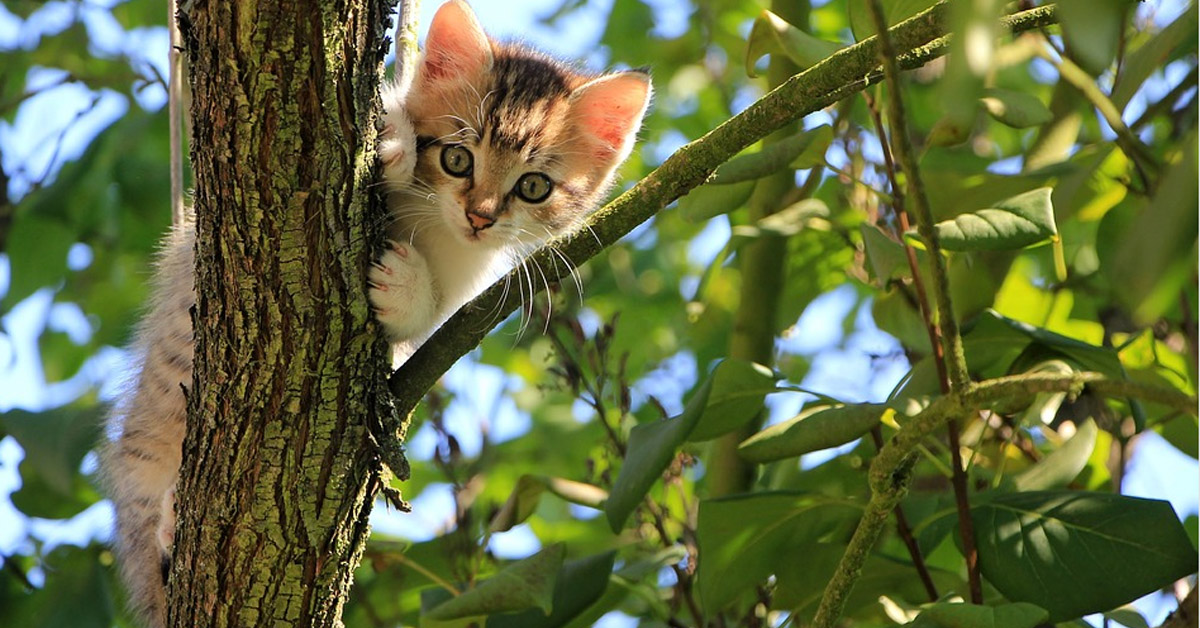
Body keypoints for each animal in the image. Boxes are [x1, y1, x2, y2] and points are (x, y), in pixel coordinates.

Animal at [100, 1, 648, 628]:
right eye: (457, 158)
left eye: (534, 186)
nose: (480, 216)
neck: (434, 225)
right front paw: (392, 140)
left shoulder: (462, 288)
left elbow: (425, 320)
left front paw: (405, 286)